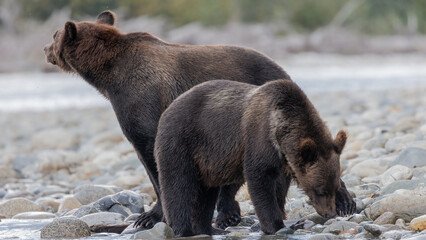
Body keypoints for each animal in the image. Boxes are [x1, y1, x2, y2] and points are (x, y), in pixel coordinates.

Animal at [156, 79, 350, 236]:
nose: (330, 213)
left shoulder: (283, 159)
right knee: (179, 184)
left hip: (206, 162)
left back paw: (208, 229)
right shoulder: (259, 138)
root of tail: (169, 108)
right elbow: (260, 178)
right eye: (320, 191)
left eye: (333, 188)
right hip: (182, 141)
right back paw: (183, 230)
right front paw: (278, 225)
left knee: (206, 192)